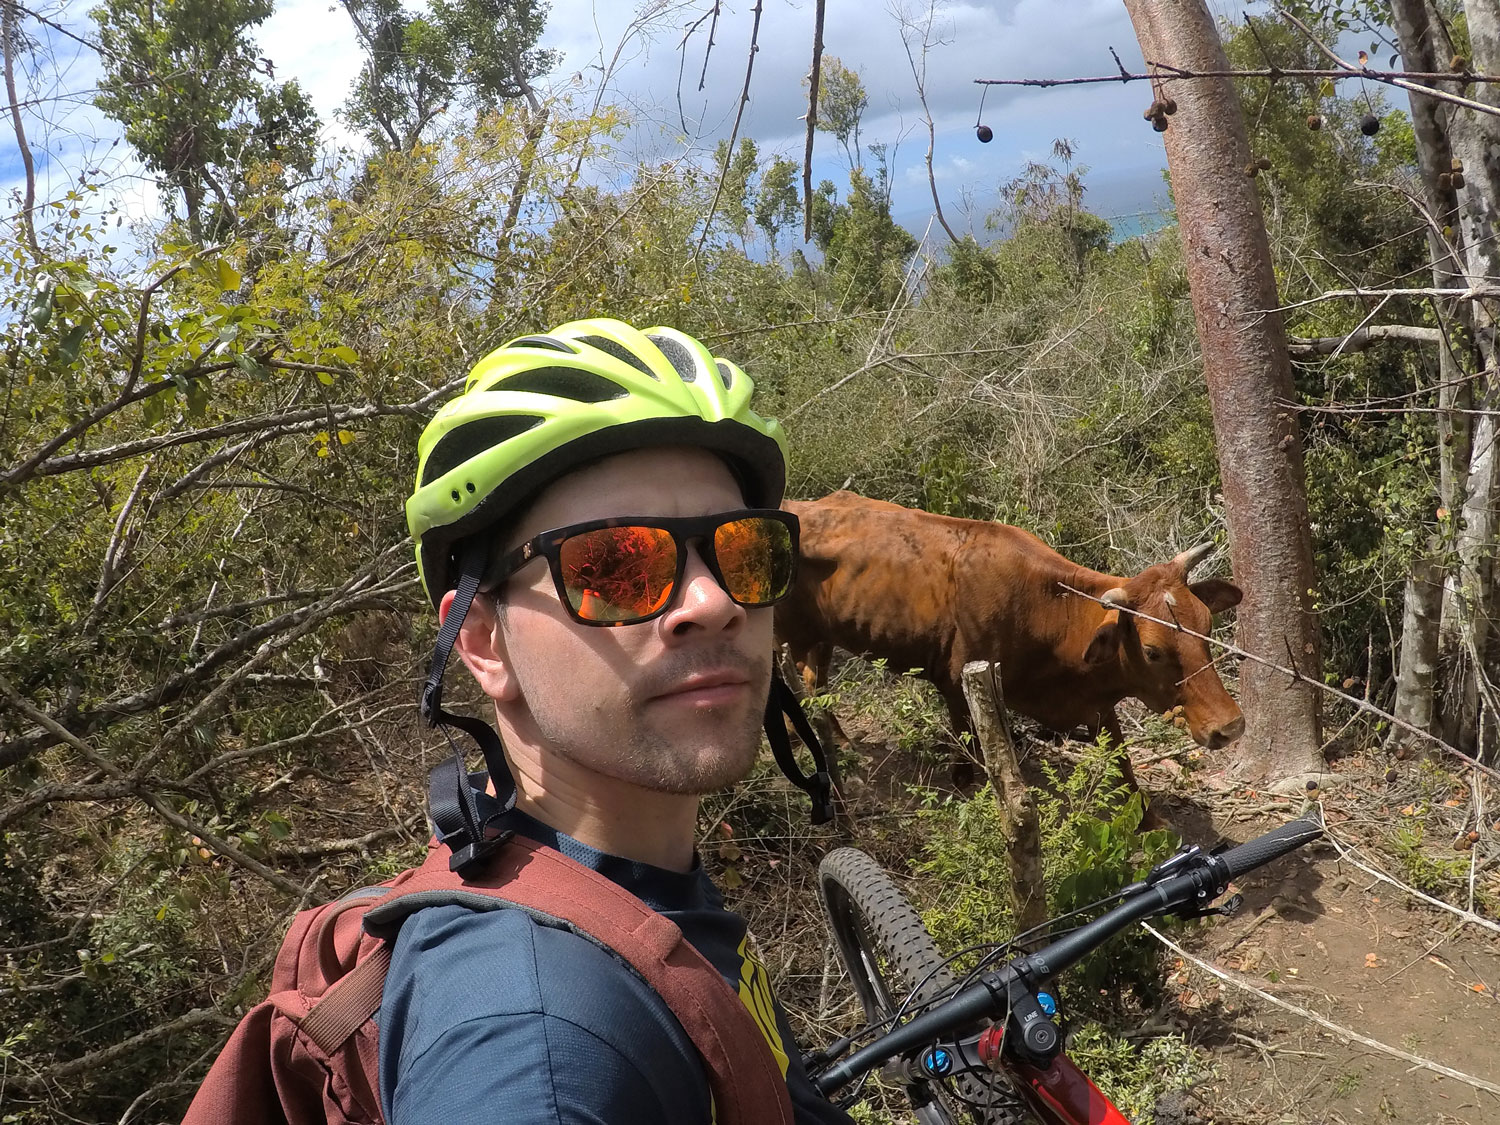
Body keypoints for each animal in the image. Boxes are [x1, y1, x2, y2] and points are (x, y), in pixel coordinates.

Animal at [774, 492, 1242, 792]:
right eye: (1152, 651)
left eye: (1207, 627)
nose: (1230, 726)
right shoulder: (959, 680)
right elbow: (967, 742)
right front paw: (966, 782)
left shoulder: (1094, 703)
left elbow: (1122, 763)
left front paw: (1149, 821)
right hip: (788, 638)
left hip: (821, 639)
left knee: (817, 683)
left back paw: (841, 743)